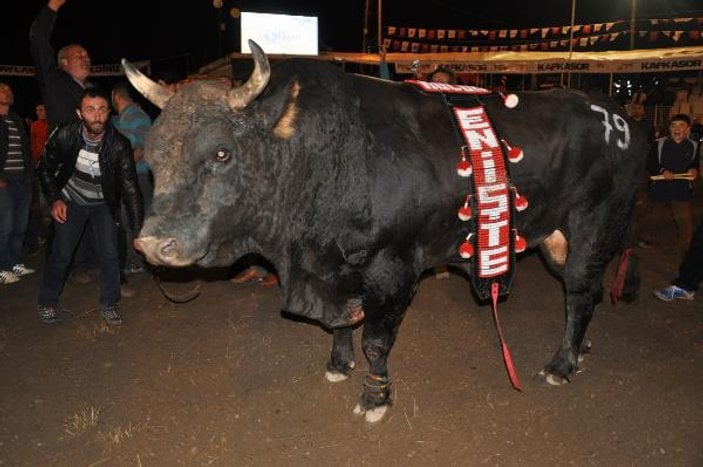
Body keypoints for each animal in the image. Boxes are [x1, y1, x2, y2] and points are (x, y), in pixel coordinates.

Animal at [122, 43, 648, 424]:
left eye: (222, 152)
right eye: (153, 151)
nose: (153, 244)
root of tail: (616, 116)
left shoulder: (392, 267)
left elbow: (376, 339)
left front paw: (375, 397)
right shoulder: (331, 268)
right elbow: (338, 325)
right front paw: (338, 364)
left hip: (593, 225)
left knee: (580, 289)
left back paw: (562, 364)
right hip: (557, 236)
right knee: (588, 292)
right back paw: (579, 348)